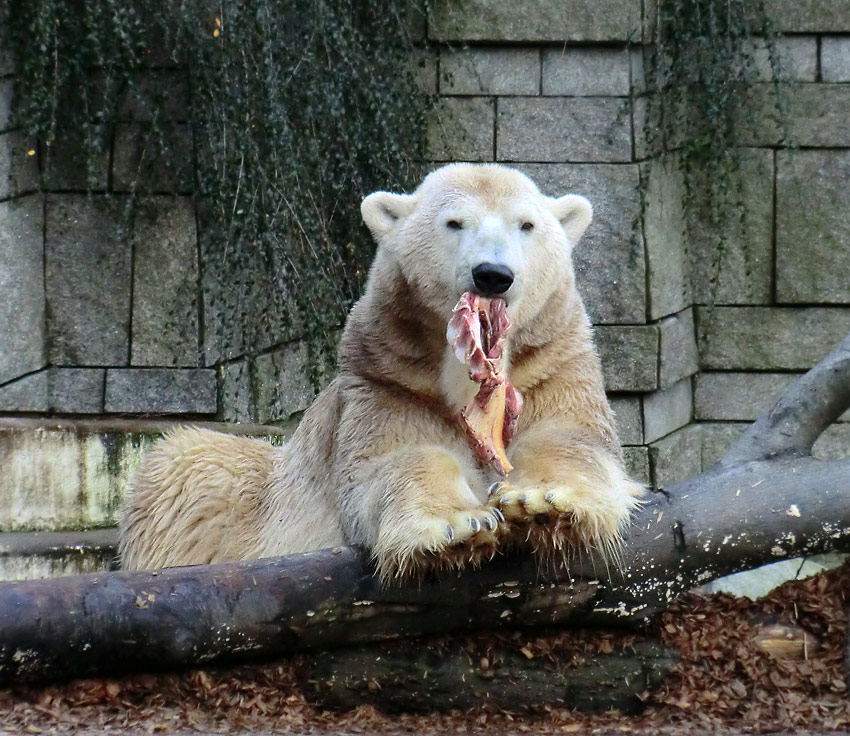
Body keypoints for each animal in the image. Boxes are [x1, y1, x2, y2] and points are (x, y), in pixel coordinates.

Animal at [119, 162, 644, 580]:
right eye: (454, 222)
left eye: (527, 224)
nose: (492, 274)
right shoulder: (387, 380)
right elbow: (396, 460)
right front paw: (460, 526)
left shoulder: (552, 363)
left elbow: (569, 438)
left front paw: (538, 503)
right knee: (187, 463)